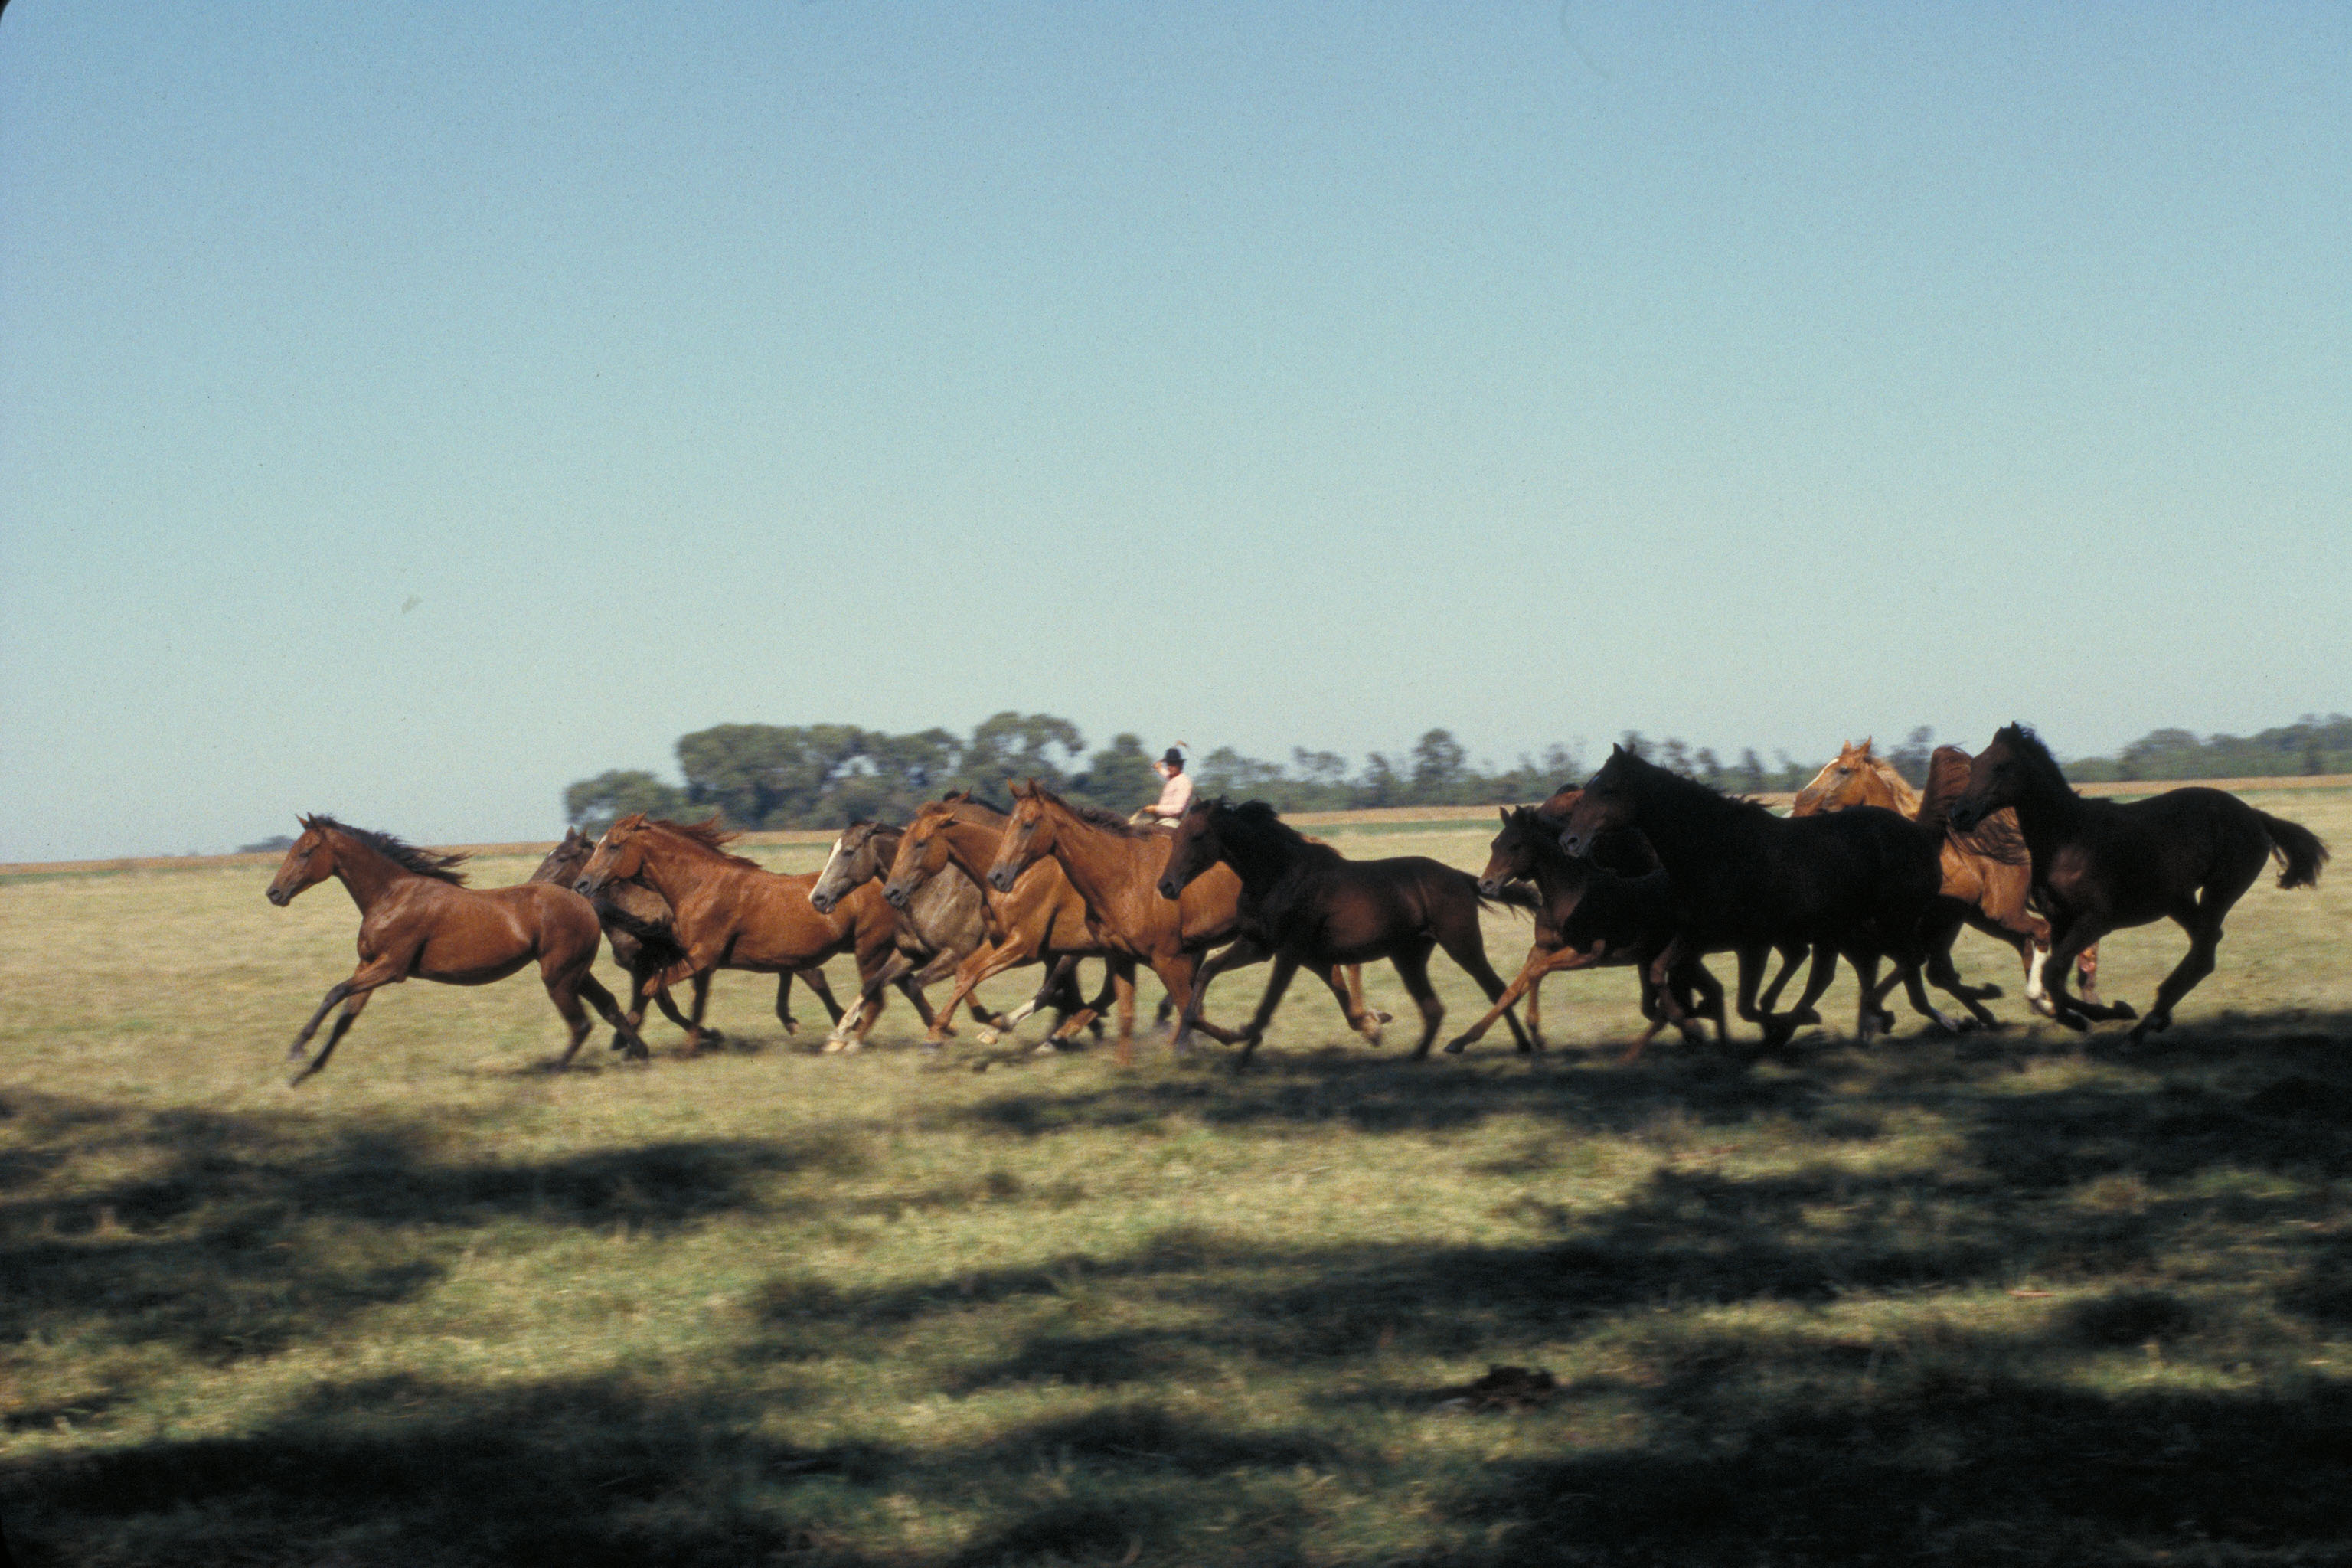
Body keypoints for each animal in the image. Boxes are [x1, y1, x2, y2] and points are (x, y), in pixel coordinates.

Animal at [573, 822, 912, 1053]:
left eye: (613, 846)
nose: (581, 884)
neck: (700, 886)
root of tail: (888, 884)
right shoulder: (700, 962)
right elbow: (692, 1002)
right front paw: (692, 1043)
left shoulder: (700, 957)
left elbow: (652, 990)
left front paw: (633, 1042)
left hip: (869, 949)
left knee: (876, 996)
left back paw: (844, 1040)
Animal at [879, 799, 1142, 1053]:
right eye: (901, 842)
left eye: (920, 843)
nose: (891, 892)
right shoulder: (997, 942)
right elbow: (965, 974)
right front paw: (994, 1021)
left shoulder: (1022, 946)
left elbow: (970, 976)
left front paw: (937, 1035)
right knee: (1104, 993)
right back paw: (1055, 1037)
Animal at [1161, 799, 1543, 1067]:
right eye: (1176, 837)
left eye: (1197, 836)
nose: (1166, 886)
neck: (1278, 874)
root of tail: (1462, 877)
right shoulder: (1257, 944)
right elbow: (1207, 972)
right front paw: (1191, 1040)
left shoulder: (1289, 951)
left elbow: (1267, 1004)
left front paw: (1241, 1055)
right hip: (1409, 957)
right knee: (1434, 1007)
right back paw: (1416, 1057)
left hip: (1461, 944)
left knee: (1496, 989)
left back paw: (1520, 1045)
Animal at [1787, 738, 2107, 1020]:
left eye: (1843, 770)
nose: (1797, 806)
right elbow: (1928, 976)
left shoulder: (1926, 927)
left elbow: (1927, 974)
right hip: (1986, 917)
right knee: (2029, 941)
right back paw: (2052, 1000)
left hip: (2000, 911)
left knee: (2041, 932)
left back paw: (2052, 998)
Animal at [1947, 728, 2314, 1048]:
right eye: (1975, 764)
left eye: (2001, 766)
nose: (1959, 813)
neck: (2068, 838)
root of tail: (2254, 815)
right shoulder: (2062, 922)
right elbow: (2056, 979)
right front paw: (2081, 1018)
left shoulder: (2096, 921)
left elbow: (2054, 974)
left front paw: (2110, 1012)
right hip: (2179, 901)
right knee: (2205, 947)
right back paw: (2152, 1021)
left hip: (2220, 889)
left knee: (2206, 950)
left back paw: (2146, 1023)